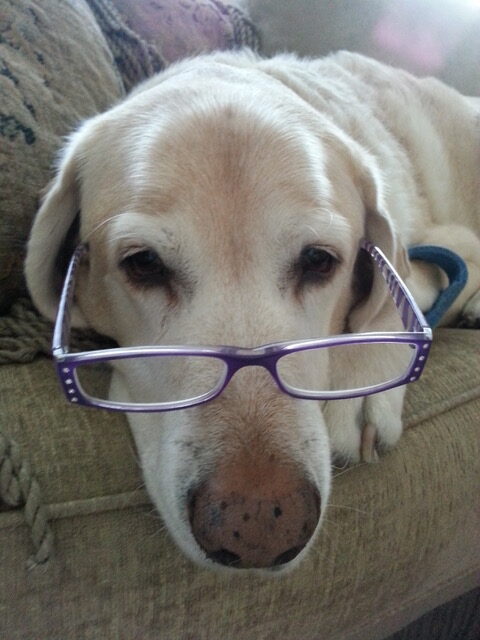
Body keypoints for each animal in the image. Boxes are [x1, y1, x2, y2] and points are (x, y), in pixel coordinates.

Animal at [25, 51, 480, 573]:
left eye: (318, 260)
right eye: (143, 263)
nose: (259, 526)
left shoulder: (440, 247)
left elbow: (395, 293)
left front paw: (361, 384)